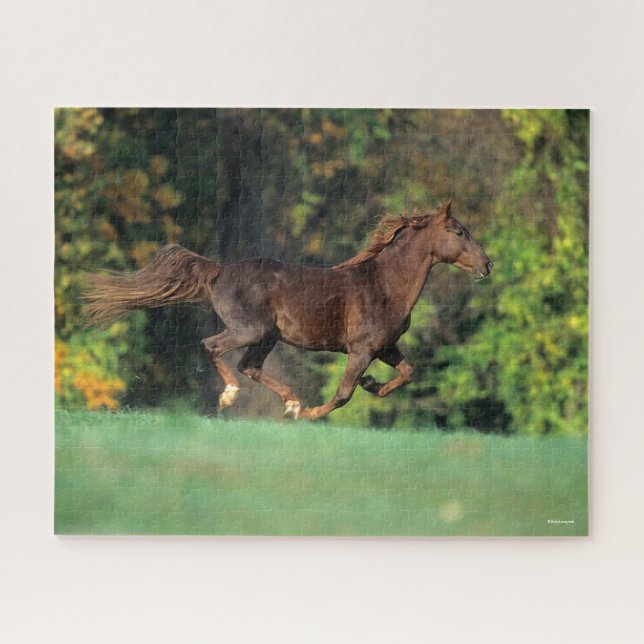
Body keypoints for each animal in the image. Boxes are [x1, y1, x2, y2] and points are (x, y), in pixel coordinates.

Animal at [84, 201, 492, 420]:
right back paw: (234, 397)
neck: (385, 285)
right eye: (458, 232)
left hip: (267, 336)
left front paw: (372, 384)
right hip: (250, 330)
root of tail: (219, 271)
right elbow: (343, 394)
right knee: (213, 348)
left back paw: (291, 402)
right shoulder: (361, 350)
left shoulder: (385, 347)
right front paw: (312, 414)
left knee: (249, 365)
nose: (488, 265)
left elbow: (408, 373)